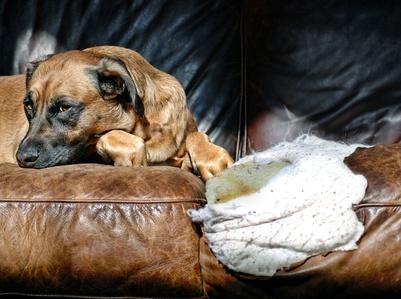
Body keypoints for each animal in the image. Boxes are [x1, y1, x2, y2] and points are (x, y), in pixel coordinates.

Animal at [10, 45, 231, 180]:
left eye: (64, 107)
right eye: (28, 106)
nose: (22, 158)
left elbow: (196, 135)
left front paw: (212, 159)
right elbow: (116, 139)